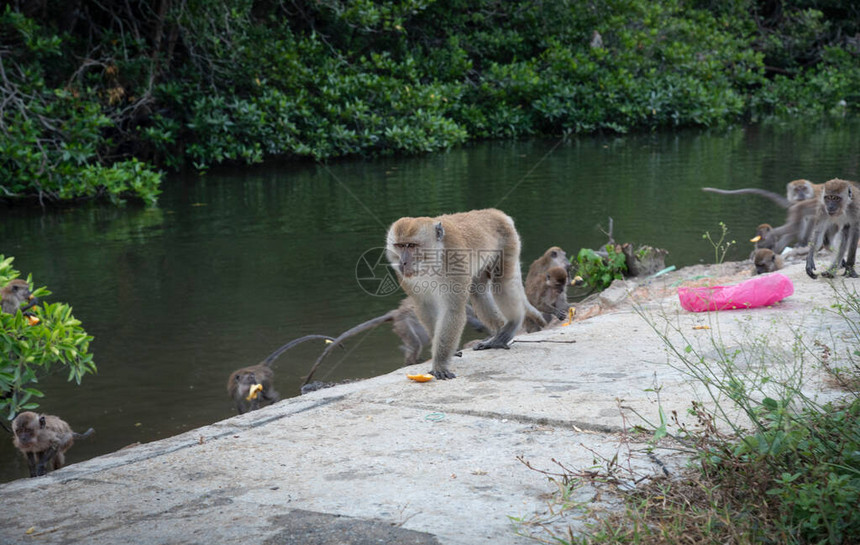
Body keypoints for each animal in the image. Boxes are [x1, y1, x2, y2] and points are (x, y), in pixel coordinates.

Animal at [384, 208, 540, 378]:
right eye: (399, 246)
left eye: (412, 245)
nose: (403, 262)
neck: (432, 260)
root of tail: (495, 212)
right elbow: (425, 307)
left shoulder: (455, 261)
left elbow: (452, 310)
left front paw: (440, 363)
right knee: (478, 290)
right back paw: (498, 332)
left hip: (508, 243)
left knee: (502, 283)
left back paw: (511, 324)